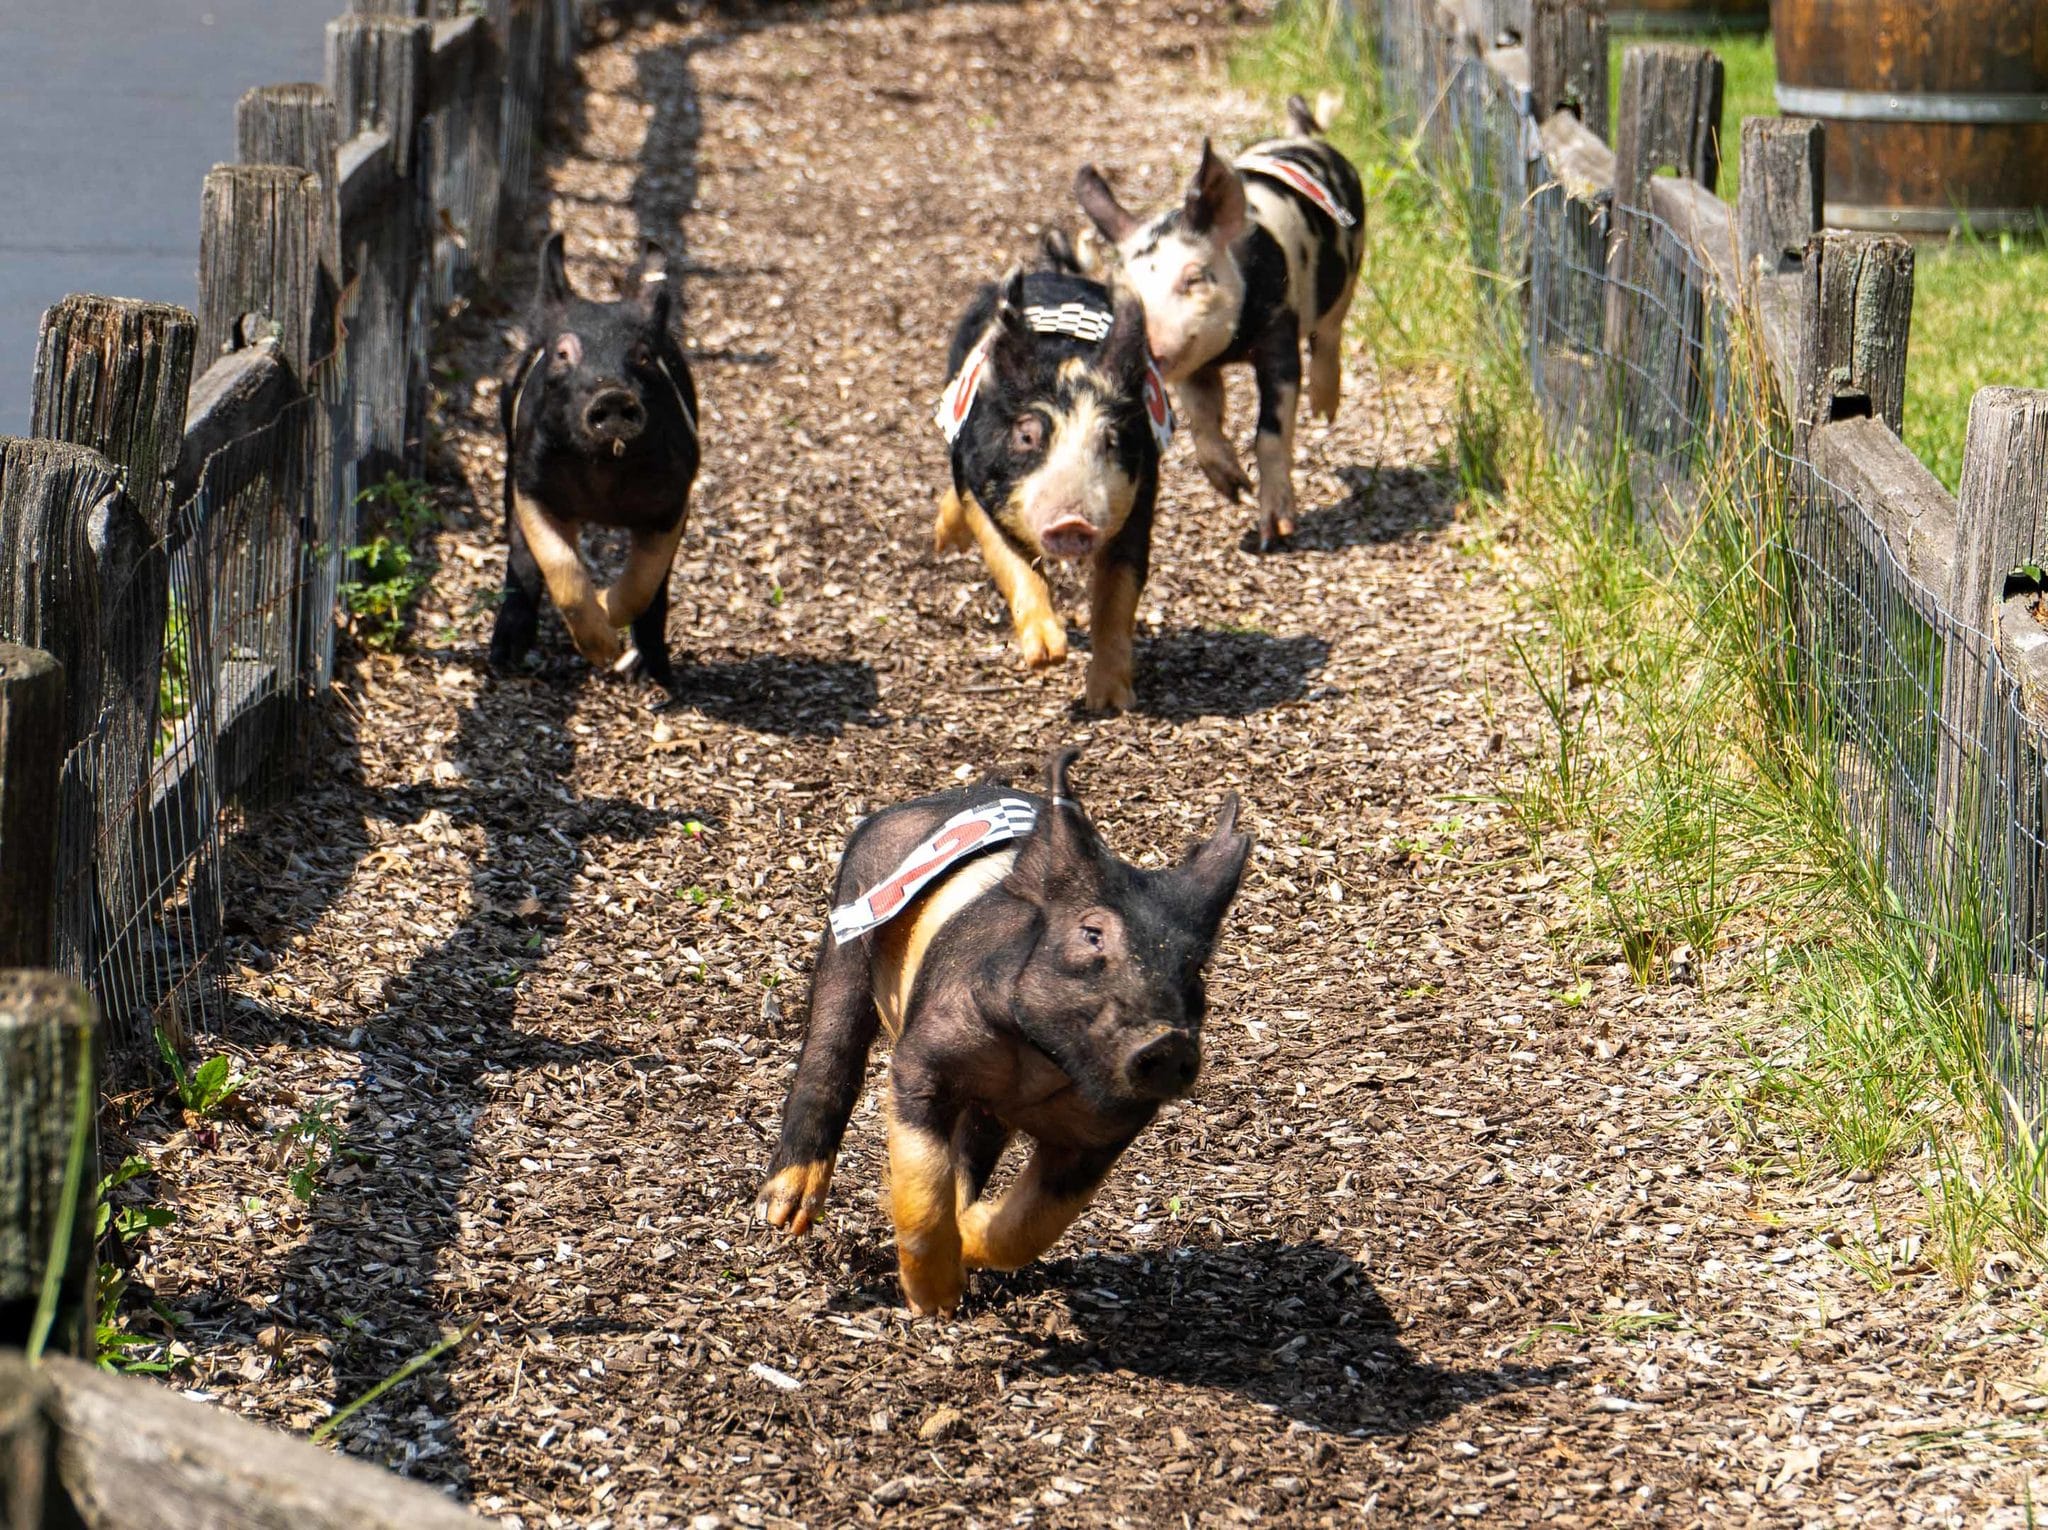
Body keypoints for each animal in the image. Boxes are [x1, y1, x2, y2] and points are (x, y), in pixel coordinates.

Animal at [489, 232, 700, 704]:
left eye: (643, 355)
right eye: (564, 353)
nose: (612, 396)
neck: (603, 482)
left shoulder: (674, 497)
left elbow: (644, 582)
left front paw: (610, 617)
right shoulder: (532, 486)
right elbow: (561, 569)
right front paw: (603, 651)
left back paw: (655, 675)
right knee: (521, 558)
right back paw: (504, 657)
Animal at [755, 748, 1250, 1316]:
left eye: (1196, 967)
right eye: (1092, 933)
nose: (1167, 1041)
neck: (1040, 1063)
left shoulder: (1104, 1133)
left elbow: (1034, 1224)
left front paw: (966, 1249)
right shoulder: (924, 1061)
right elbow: (924, 1179)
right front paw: (935, 1304)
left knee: (972, 1154)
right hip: (849, 928)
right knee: (830, 1056)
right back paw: (780, 1214)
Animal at [930, 264, 1172, 712]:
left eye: (1111, 439)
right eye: (1027, 436)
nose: (1072, 521)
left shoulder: (1141, 496)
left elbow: (1118, 593)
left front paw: (1109, 704)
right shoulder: (982, 488)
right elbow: (1012, 565)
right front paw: (1047, 656)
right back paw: (945, 545)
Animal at [1073, 96, 1365, 550]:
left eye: (1193, 278)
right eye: (1120, 288)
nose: (1141, 345)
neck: (1232, 347)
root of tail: (1299, 136)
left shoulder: (1279, 330)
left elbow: (1271, 431)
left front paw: (1275, 533)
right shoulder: (1192, 368)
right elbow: (1203, 426)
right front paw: (1235, 490)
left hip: (1348, 274)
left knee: (1329, 335)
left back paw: (1323, 413)